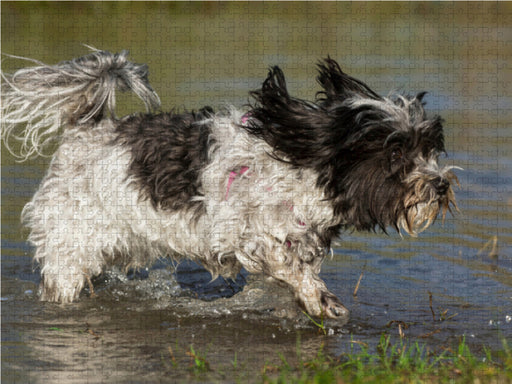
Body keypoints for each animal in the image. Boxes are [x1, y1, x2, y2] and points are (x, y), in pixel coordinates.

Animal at [1, 51, 460, 320]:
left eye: (430, 148)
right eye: (396, 154)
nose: (440, 184)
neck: (303, 171)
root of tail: (87, 129)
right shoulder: (251, 235)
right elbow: (288, 267)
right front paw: (320, 299)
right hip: (68, 251)